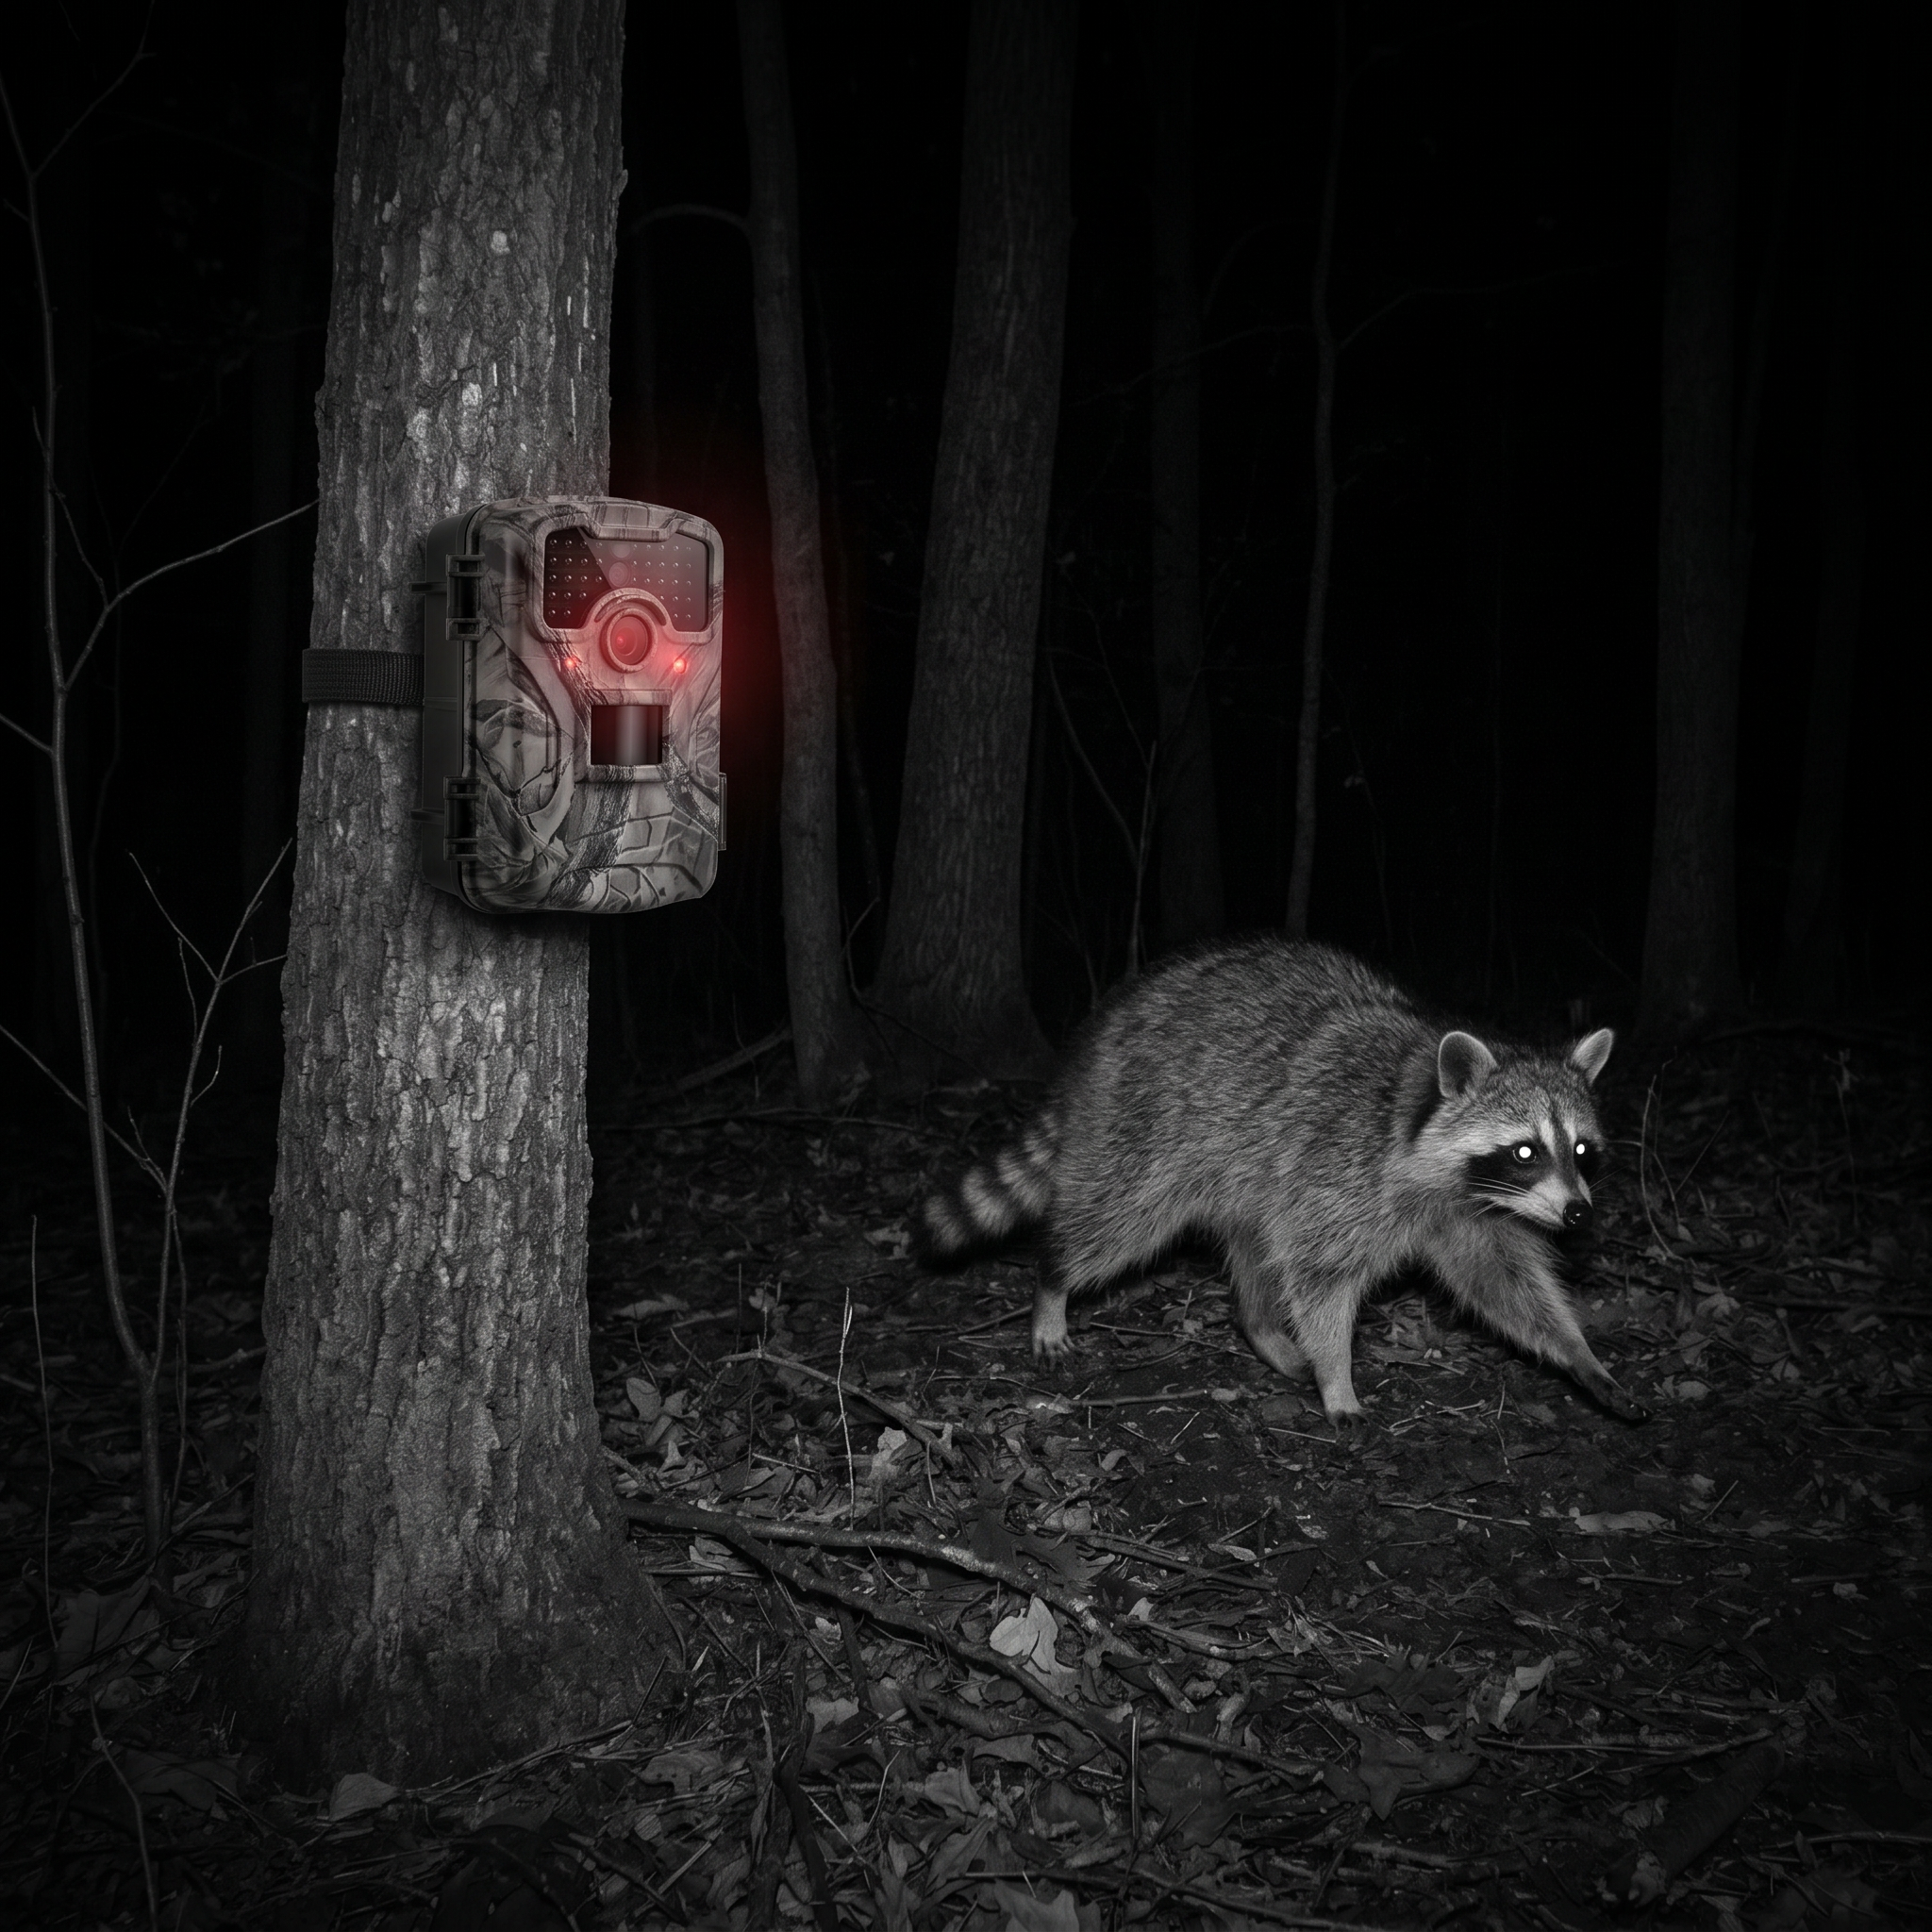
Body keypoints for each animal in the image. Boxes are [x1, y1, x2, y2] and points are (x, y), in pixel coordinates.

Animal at [916, 938, 1645, 1423]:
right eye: (1525, 1151)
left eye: (1582, 1151)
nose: (1580, 1215)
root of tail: (1110, 1020)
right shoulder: (1342, 1171)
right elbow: (1321, 1279)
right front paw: (1336, 1373)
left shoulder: (1471, 1213)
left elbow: (1505, 1282)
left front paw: (1578, 1352)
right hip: (1151, 1123)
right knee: (1120, 1218)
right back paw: (1054, 1283)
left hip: (1248, 1166)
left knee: (1255, 1246)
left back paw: (1260, 1328)